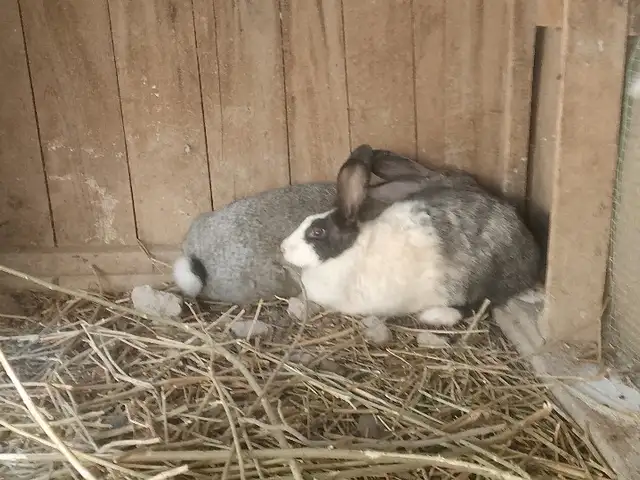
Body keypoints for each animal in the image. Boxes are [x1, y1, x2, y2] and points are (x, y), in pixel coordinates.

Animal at [279, 144, 542, 327]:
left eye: (317, 231)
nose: (283, 248)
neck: (350, 250)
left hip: (482, 277)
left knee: (483, 304)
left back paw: (435, 315)